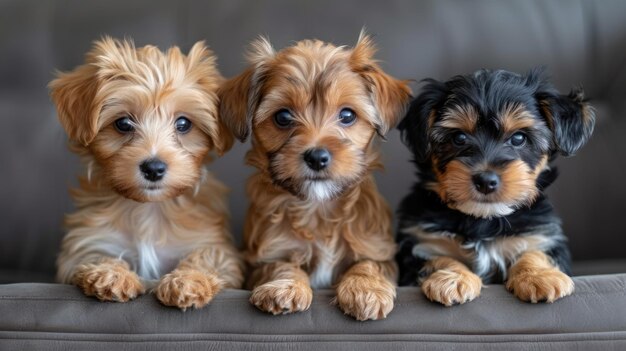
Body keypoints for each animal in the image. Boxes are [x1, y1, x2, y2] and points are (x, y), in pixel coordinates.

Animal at [50, 37, 244, 310]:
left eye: (183, 124)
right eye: (123, 124)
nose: (154, 168)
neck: (148, 209)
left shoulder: (213, 245)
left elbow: (207, 257)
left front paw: (186, 281)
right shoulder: (86, 242)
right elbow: (97, 254)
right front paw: (112, 275)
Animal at [218, 33, 410, 322]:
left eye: (347, 115)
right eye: (283, 117)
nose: (317, 157)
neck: (318, 208)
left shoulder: (379, 251)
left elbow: (367, 264)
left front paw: (366, 290)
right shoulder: (264, 258)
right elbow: (283, 265)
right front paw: (284, 288)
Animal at [394, 68, 596, 306]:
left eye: (518, 138)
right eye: (459, 137)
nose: (485, 180)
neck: (483, 218)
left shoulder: (540, 234)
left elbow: (535, 252)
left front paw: (539, 276)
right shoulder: (421, 242)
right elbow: (438, 257)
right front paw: (452, 279)